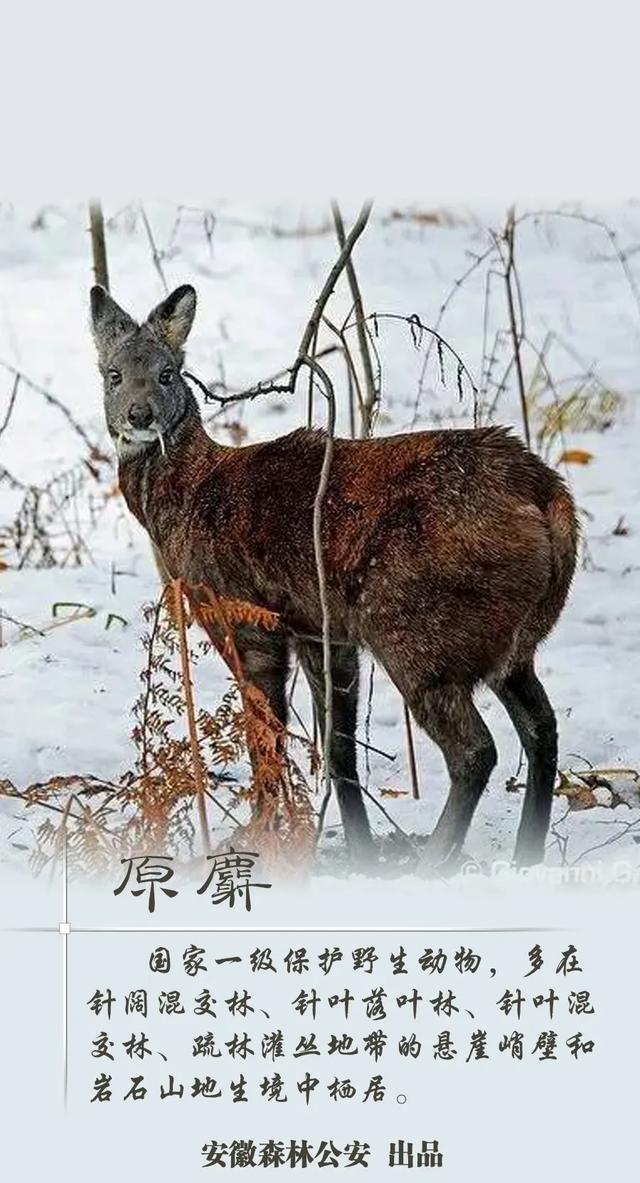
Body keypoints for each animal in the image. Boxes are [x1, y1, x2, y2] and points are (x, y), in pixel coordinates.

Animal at [91, 276, 579, 870]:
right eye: (113, 374)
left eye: (167, 372)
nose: (140, 416)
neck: (188, 499)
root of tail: (547, 494)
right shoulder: (319, 627)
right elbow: (339, 746)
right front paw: (359, 850)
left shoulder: (242, 611)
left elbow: (266, 736)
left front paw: (257, 838)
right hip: (511, 639)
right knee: (541, 726)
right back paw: (526, 853)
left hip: (416, 628)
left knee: (474, 749)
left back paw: (434, 860)